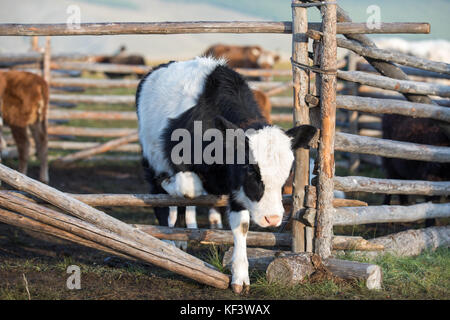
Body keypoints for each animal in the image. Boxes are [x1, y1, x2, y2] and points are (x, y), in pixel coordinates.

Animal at [136, 57, 316, 292]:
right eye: (251, 170)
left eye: (289, 172)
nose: (273, 218)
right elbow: (188, 188)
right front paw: (170, 183)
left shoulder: (238, 188)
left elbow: (241, 226)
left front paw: (240, 276)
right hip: (151, 159)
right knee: (162, 201)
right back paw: (167, 240)